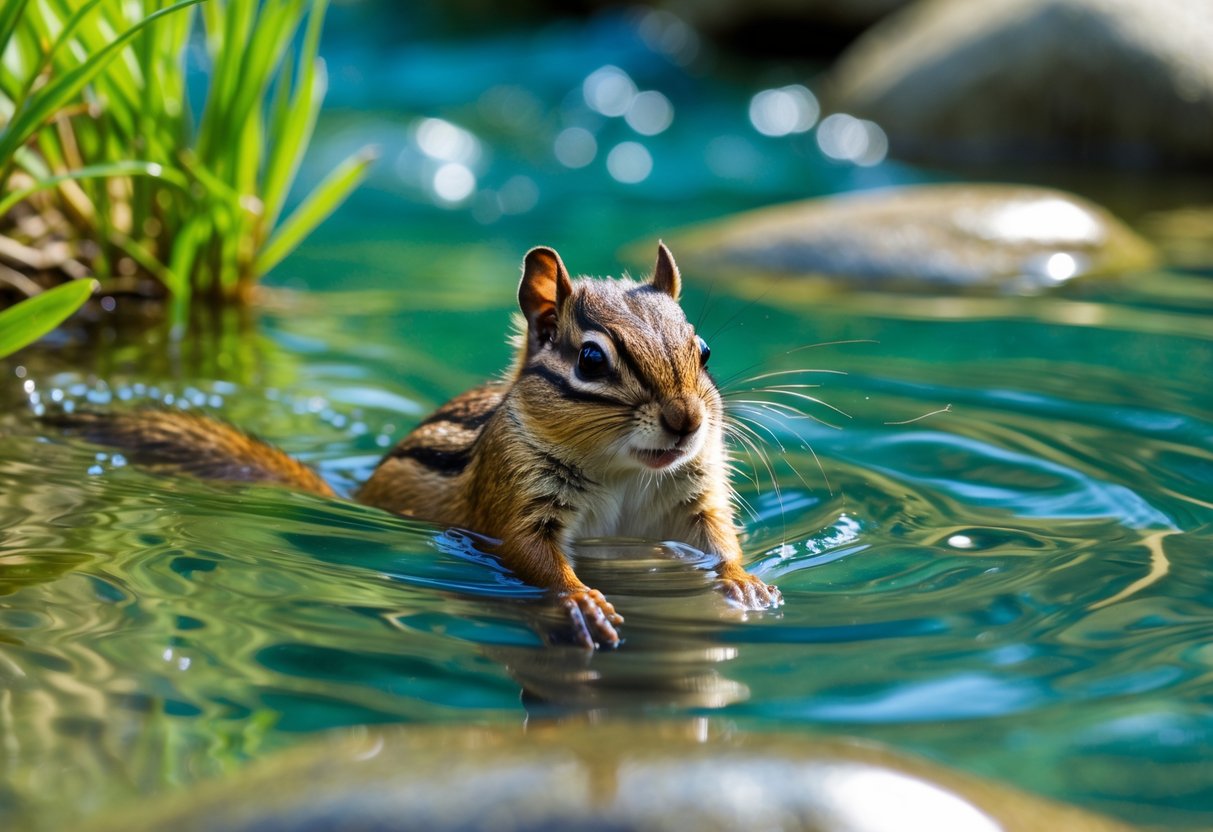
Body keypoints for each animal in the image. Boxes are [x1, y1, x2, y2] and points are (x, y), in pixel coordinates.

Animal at [50, 244, 782, 649]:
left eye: (703, 352)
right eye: (593, 360)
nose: (686, 421)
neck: (624, 471)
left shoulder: (694, 492)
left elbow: (719, 535)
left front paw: (745, 582)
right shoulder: (516, 495)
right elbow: (531, 554)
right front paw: (582, 599)